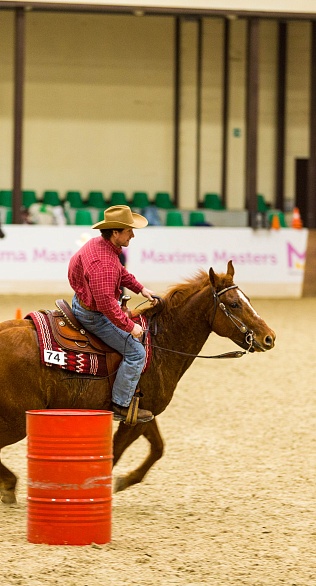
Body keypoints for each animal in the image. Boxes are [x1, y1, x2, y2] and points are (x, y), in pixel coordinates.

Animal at [0, 260, 274, 502]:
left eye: (247, 300)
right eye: (234, 304)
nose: (269, 337)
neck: (160, 342)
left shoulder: (143, 414)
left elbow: (158, 448)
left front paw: (125, 480)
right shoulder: (132, 419)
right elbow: (117, 452)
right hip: (16, 421)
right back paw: (10, 486)